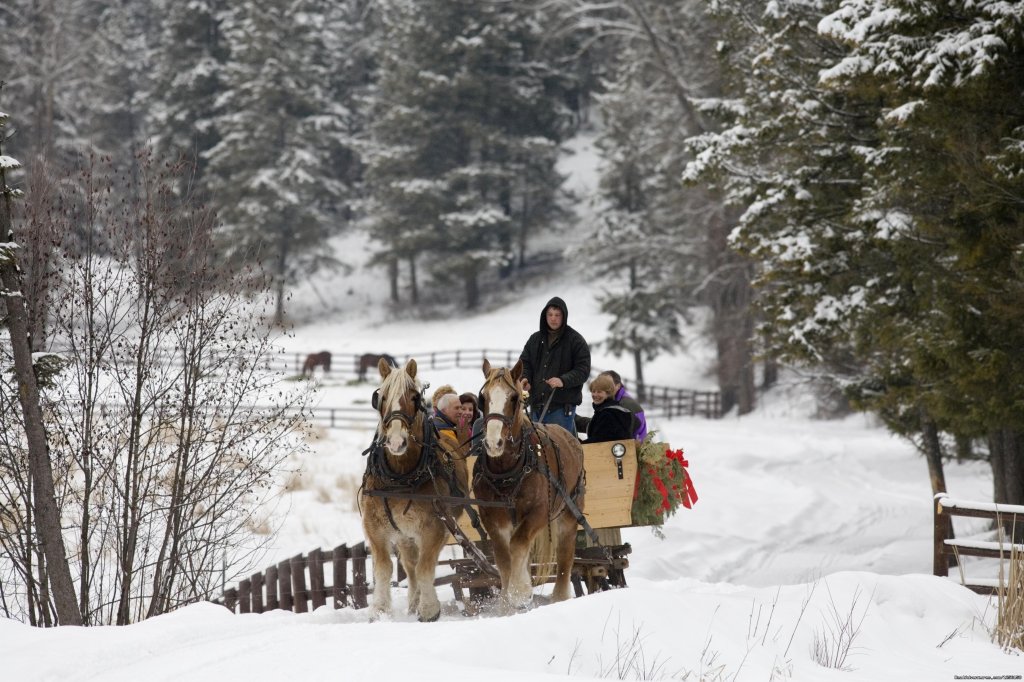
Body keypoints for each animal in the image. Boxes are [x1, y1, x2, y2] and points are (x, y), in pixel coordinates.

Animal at [360, 356, 468, 622]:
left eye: (413, 397)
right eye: (382, 397)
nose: (396, 441)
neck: (400, 478)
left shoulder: (435, 527)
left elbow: (425, 567)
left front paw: (429, 610)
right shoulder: (374, 526)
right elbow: (385, 568)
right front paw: (379, 610)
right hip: (404, 534)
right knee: (409, 565)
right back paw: (411, 605)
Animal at [471, 358, 585, 606]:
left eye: (514, 398)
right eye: (483, 398)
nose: (493, 443)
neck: (508, 470)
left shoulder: (539, 512)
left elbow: (518, 544)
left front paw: (519, 590)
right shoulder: (492, 516)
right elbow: (504, 556)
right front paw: (508, 599)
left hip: (569, 512)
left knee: (565, 554)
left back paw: (560, 596)